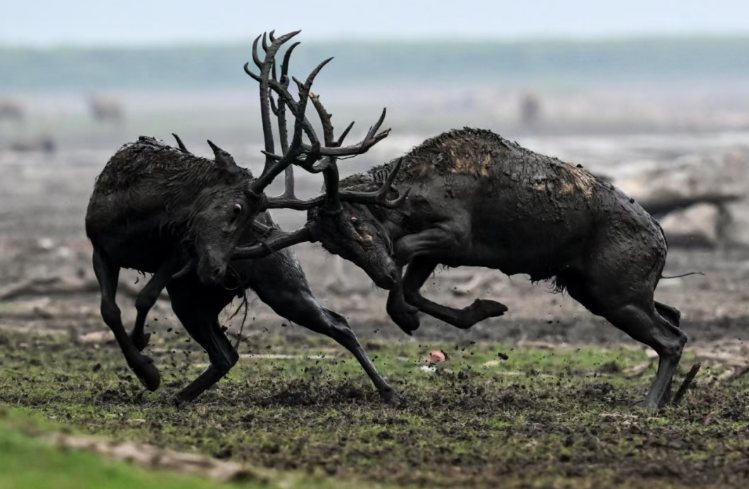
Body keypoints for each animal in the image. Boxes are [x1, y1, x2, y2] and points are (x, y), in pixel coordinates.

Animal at [85, 31, 402, 405]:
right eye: (237, 210)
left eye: (253, 220)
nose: (218, 272)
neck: (139, 215)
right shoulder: (101, 247)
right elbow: (109, 310)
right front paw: (145, 367)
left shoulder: (178, 252)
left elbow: (144, 297)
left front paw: (147, 367)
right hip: (193, 299)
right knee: (226, 354)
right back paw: (179, 397)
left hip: (280, 287)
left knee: (339, 324)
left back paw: (389, 390)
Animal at [250, 125, 687, 410]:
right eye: (331, 245)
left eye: (354, 220)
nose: (381, 275)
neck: (407, 193)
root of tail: (662, 238)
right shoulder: (435, 251)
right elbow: (409, 289)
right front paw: (476, 309)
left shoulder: (455, 238)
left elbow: (402, 256)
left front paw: (423, 314)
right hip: (595, 290)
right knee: (674, 317)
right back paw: (668, 397)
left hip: (616, 297)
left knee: (671, 339)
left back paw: (648, 406)